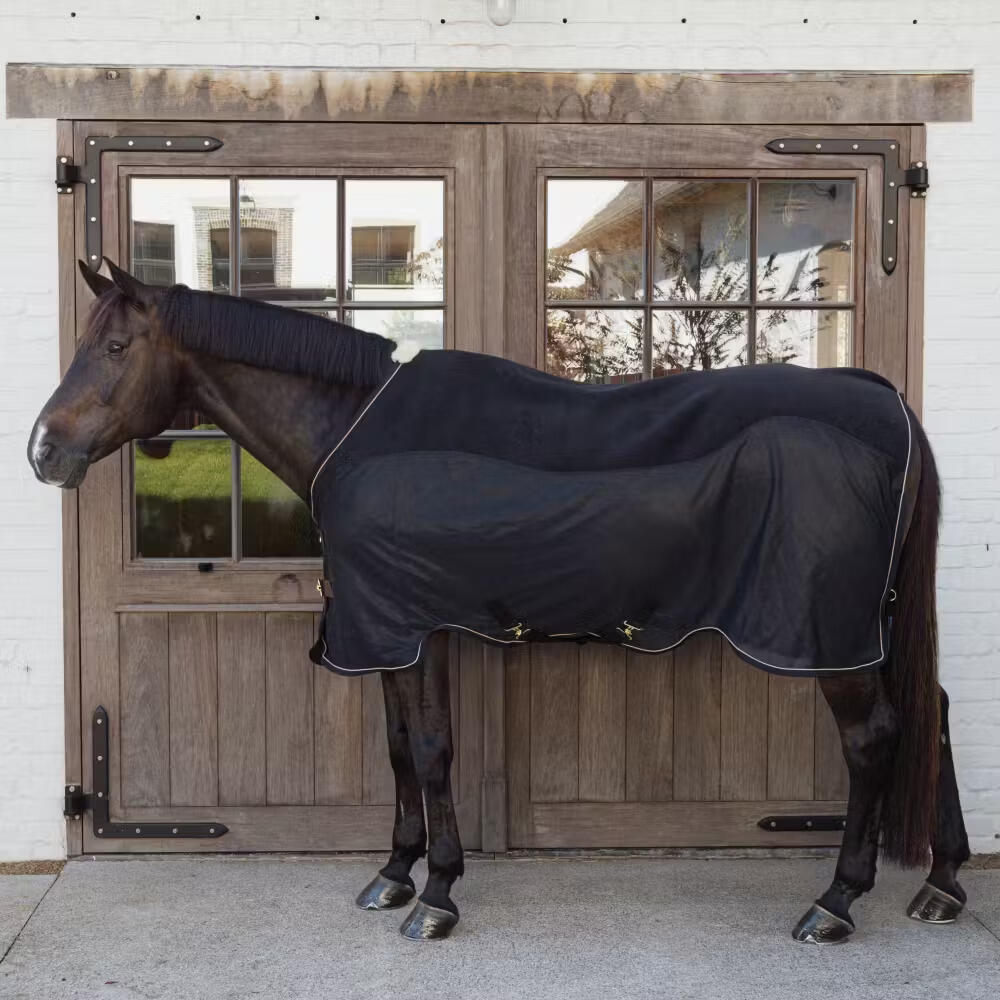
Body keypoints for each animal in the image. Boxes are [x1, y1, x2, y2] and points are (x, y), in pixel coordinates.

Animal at [28, 259, 970, 943]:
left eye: (115, 348)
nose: (43, 450)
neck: (356, 432)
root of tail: (888, 403)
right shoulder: (390, 629)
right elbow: (401, 750)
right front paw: (393, 875)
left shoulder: (406, 625)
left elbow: (432, 750)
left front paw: (436, 895)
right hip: (878, 623)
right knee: (933, 711)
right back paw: (943, 883)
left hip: (833, 635)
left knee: (875, 737)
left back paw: (837, 902)